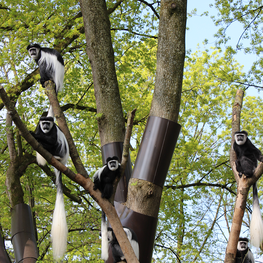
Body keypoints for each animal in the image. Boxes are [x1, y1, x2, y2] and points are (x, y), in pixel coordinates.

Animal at [30, 116, 69, 260]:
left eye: (48, 123)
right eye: (43, 123)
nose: (46, 127)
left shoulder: (53, 131)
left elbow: (52, 140)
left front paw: (33, 135)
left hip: (60, 150)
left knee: (55, 144)